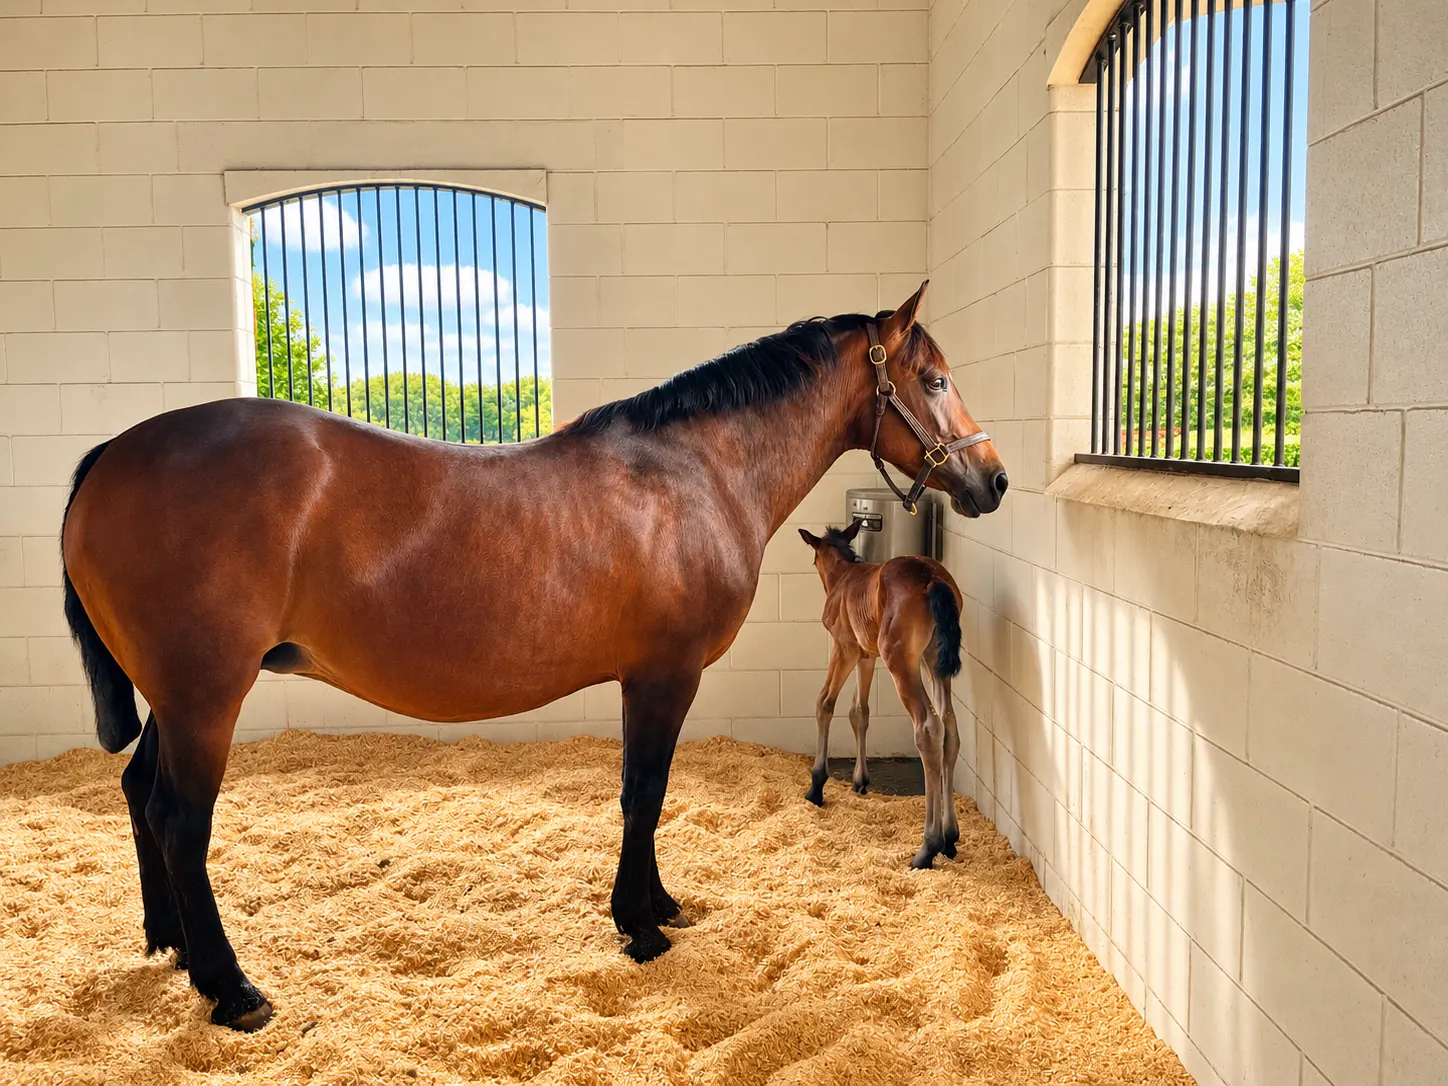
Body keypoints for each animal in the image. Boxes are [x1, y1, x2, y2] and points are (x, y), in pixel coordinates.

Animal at [796, 520, 965, 869]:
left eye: (813, 558)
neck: (844, 578)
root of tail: (933, 580)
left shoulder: (845, 647)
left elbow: (825, 702)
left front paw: (817, 785)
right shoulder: (866, 655)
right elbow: (859, 712)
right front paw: (860, 782)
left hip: (901, 662)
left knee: (928, 729)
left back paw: (928, 847)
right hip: (935, 662)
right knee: (949, 728)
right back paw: (950, 837)